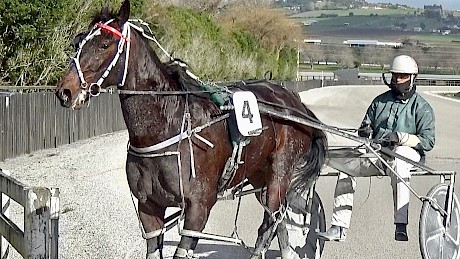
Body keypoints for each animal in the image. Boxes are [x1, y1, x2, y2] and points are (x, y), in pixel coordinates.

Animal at [54, 1, 328, 258]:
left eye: (105, 44)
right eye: (77, 42)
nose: (65, 91)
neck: (168, 126)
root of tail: (294, 102)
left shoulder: (198, 208)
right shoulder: (148, 207)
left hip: (279, 175)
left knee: (270, 222)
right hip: (259, 176)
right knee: (277, 221)